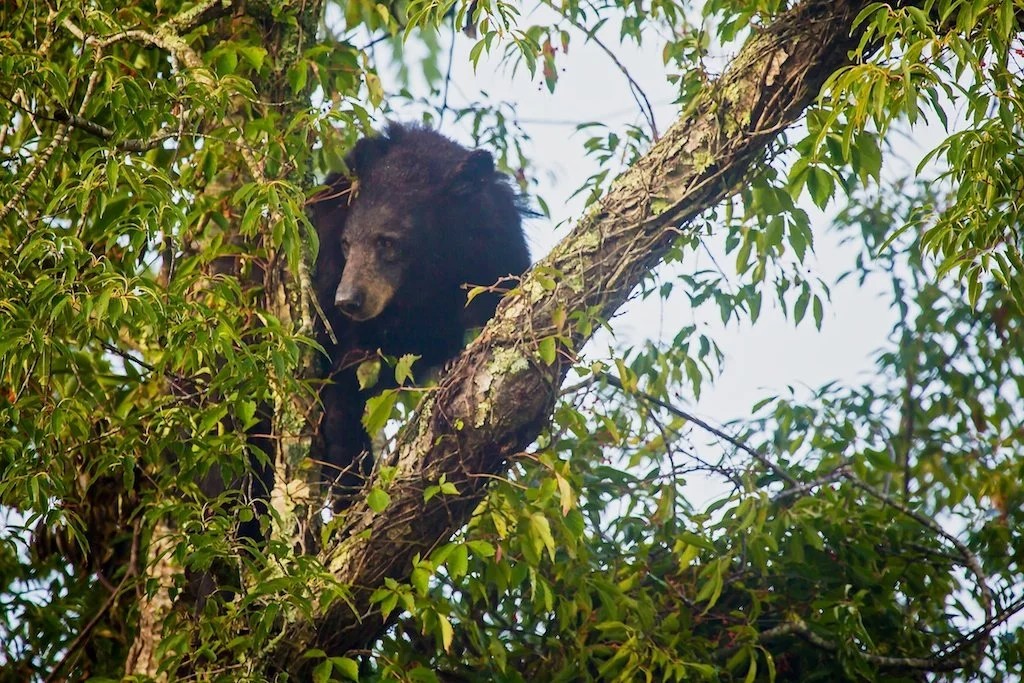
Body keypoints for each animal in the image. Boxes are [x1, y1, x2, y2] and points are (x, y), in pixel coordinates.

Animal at [309, 122, 532, 506]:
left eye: (387, 242)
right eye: (346, 243)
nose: (348, 300)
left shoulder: (495, 252)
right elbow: (341, 387)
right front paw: (350, 482)